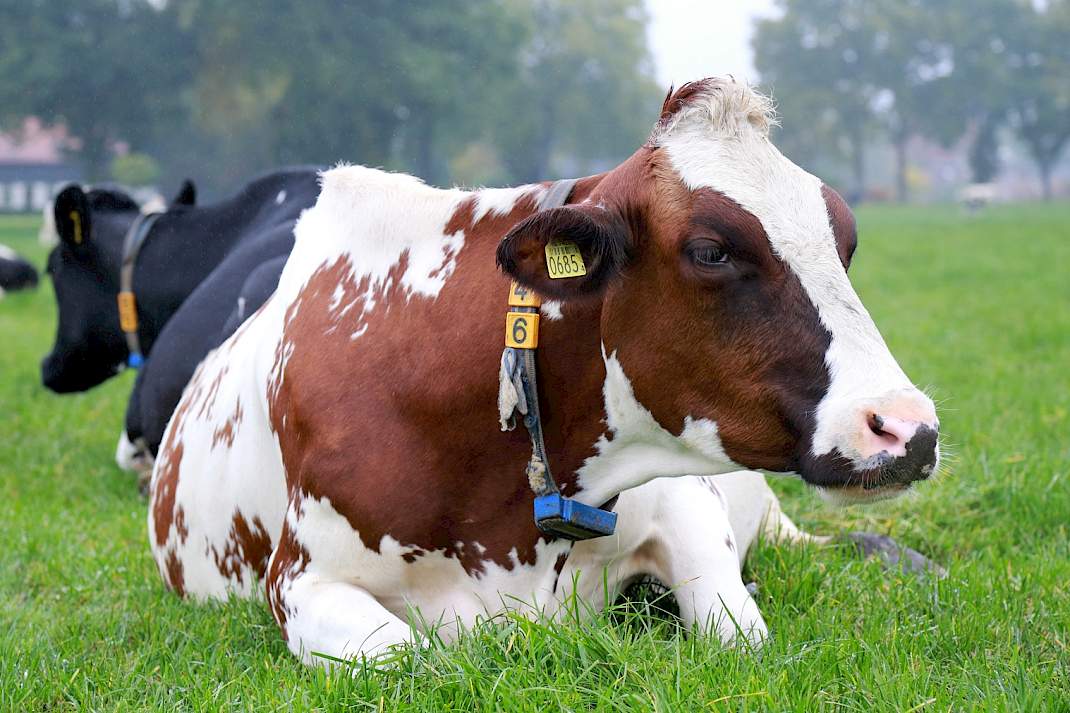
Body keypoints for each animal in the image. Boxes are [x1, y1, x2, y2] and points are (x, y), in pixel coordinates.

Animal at [149, 79, 941, 666]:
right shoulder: (302, 579)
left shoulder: (684, 501)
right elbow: (404, 658)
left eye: (845, 242)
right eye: (711, 250)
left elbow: (739, 630)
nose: (908, 427)